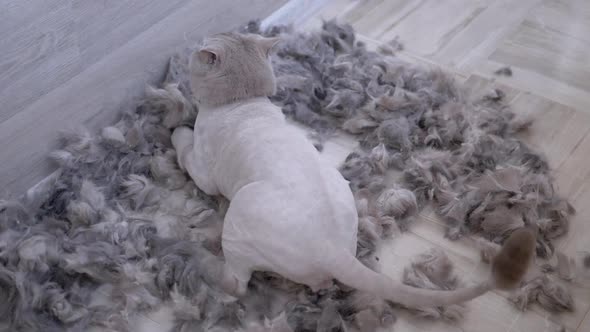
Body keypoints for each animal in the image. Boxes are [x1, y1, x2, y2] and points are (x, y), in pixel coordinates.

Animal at [170, 32, 536, 308]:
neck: (245, 102)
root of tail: (334, 252)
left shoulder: (205, 171)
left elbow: (185, 148)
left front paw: (177, 128)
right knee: (317, 284)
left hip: (238, 218)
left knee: (236, 283)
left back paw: (198, 258)